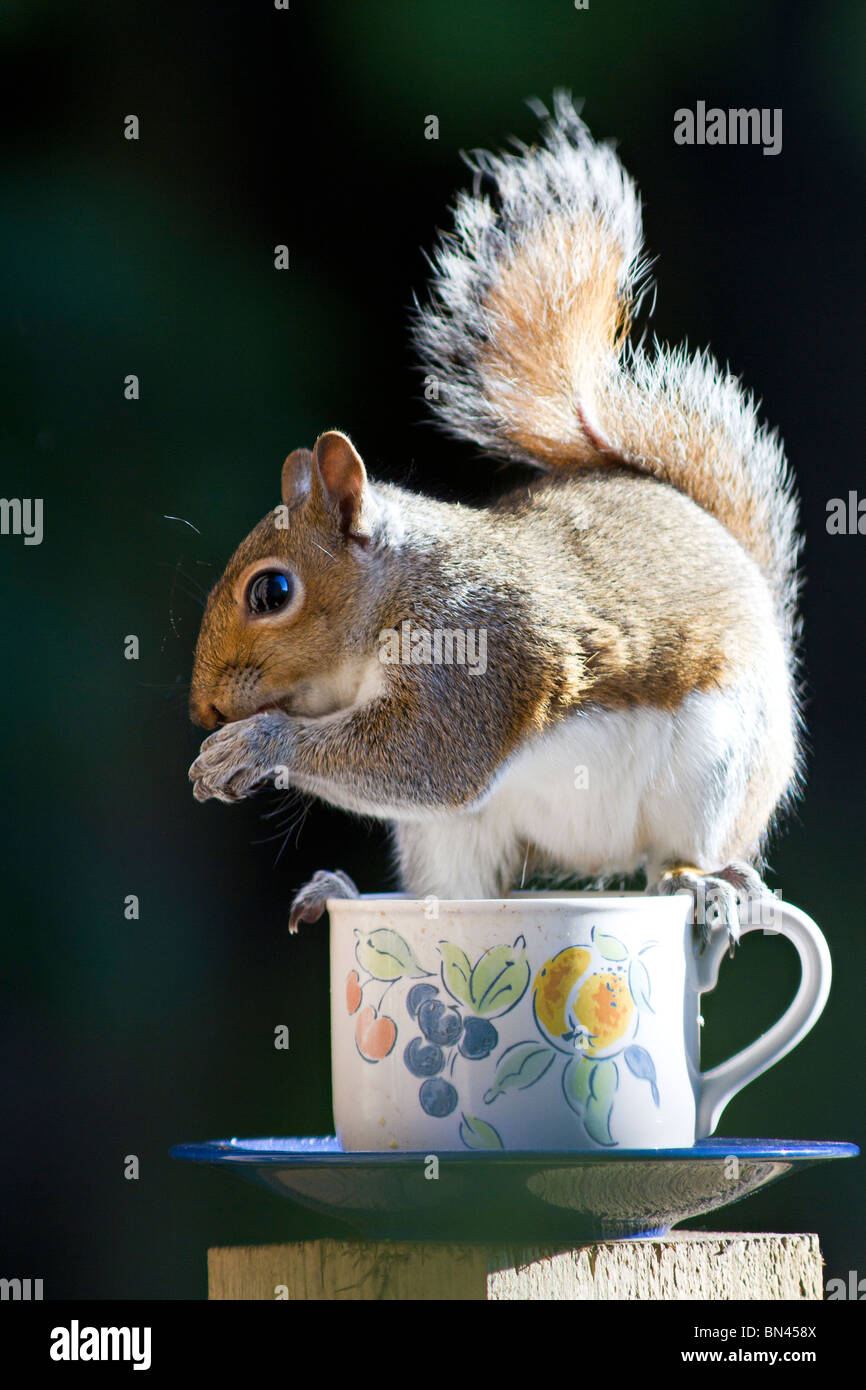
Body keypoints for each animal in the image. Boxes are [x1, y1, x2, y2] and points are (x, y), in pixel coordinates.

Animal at [188, 94, 801, 943]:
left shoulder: (478, 656)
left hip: (721, 766)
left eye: (272, 593)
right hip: (460, 839)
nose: (202, 709)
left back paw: (708, 884)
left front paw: (253, 744)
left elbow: (428, 758)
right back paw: (342, 891)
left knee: (681, 858)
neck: (396, 595)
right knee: (457, 887)